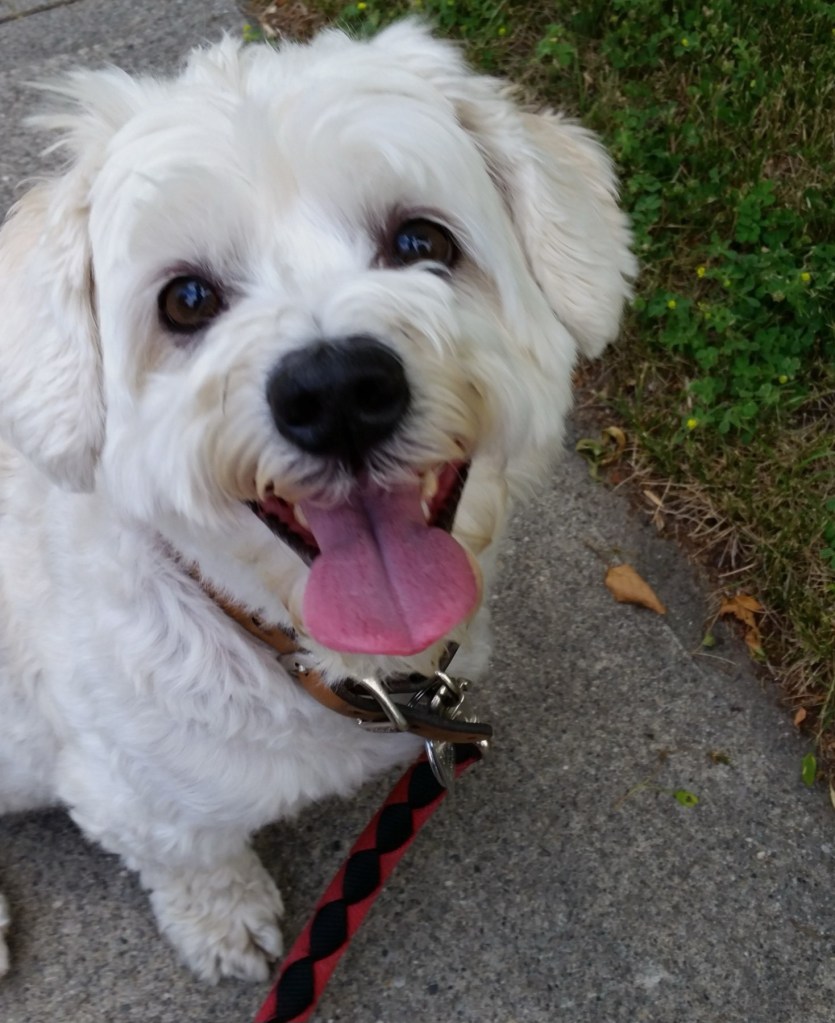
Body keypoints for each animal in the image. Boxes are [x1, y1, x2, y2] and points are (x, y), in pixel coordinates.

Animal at [0, 20, 634, 983]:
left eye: (420, 241)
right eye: (187, 298)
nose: (336, 392)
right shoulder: (129, 794)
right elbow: (193, 858)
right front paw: (225, 922)